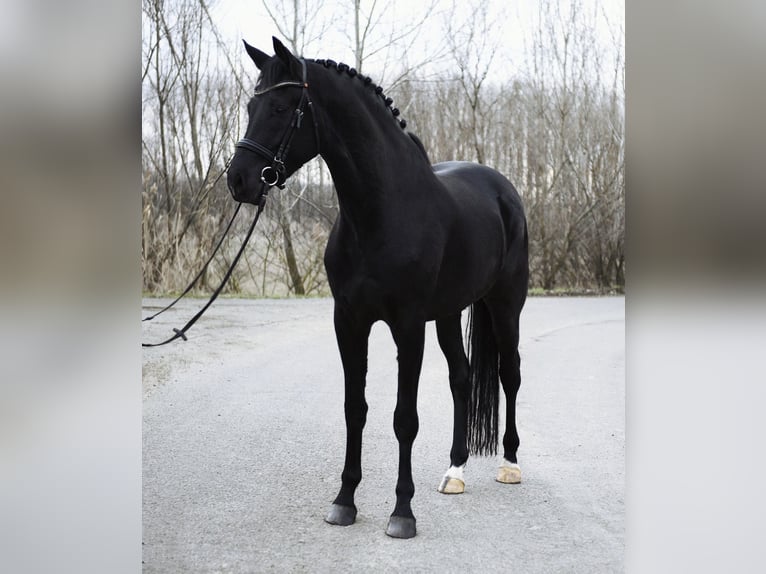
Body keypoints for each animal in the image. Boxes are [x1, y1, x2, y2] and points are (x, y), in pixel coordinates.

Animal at [227, 37, 529, 539]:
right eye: (252, 105)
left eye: (281, 107)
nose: (239, 180)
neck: (380, 211)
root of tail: (504, 191)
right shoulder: (349, 321)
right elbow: (356, 408)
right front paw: (344, 501)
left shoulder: (407, 325)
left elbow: (404, 418)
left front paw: (402, 512)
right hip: (449, 313)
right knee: (462, 378)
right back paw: (455, 471)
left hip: (505, 306)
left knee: (510, 374)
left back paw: (509, 464)